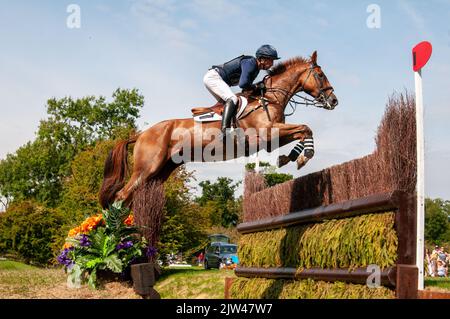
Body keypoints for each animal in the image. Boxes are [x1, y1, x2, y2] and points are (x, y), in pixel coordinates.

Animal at [98, 51, 338, 209]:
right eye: (320, 75)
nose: (334, 101)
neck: (269, 99)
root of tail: (141, 134)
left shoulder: (271, 139)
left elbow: (303, 132)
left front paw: (289, 158)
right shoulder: (267, 133)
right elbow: (306, 128)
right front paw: (303, 157)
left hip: (161, 172)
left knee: (129, 199)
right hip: (147, 168)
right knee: (121, 196)